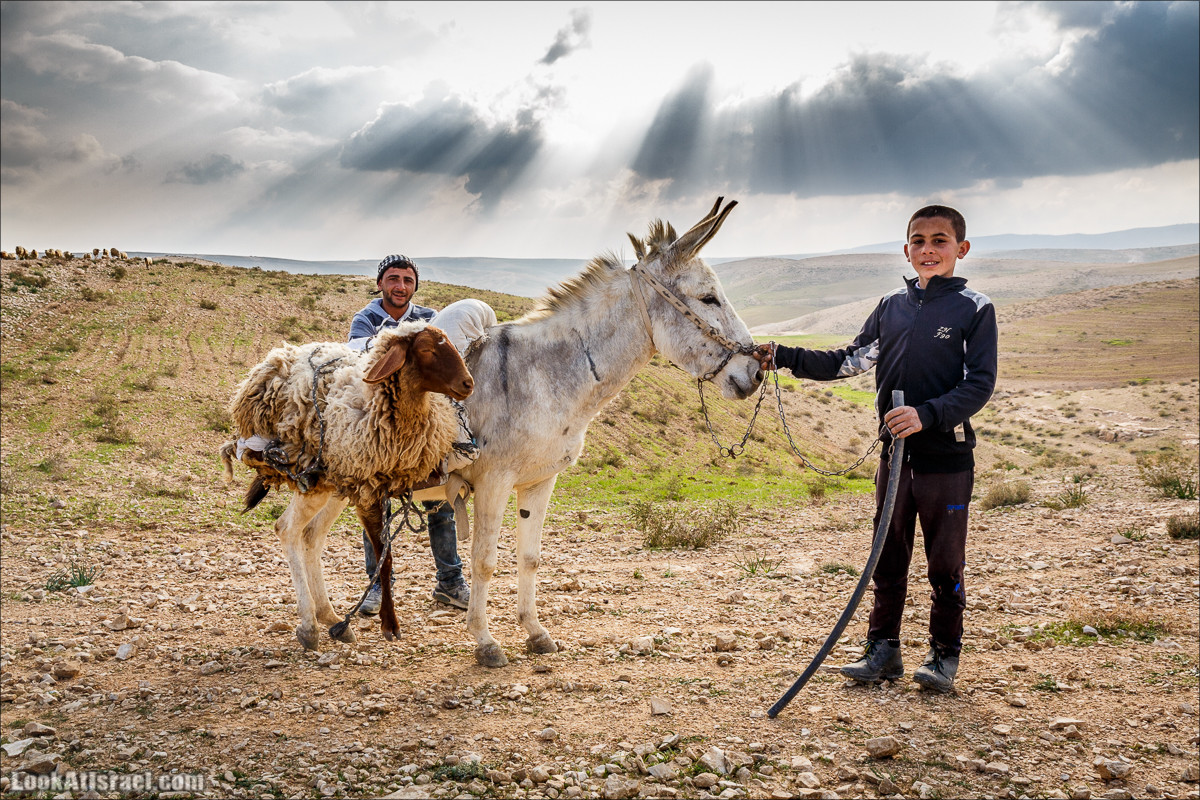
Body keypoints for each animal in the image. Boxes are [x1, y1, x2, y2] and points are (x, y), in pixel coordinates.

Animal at [223, 321, 475, 647]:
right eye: (426, 349)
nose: (468, 384)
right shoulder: (369, 492)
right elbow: (384, 559)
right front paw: (390, 624)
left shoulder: (373, 487)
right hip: (310, 479)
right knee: (287, 529)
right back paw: (309, 625)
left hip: (334, 486)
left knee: (311, 536)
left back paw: (330, 617)